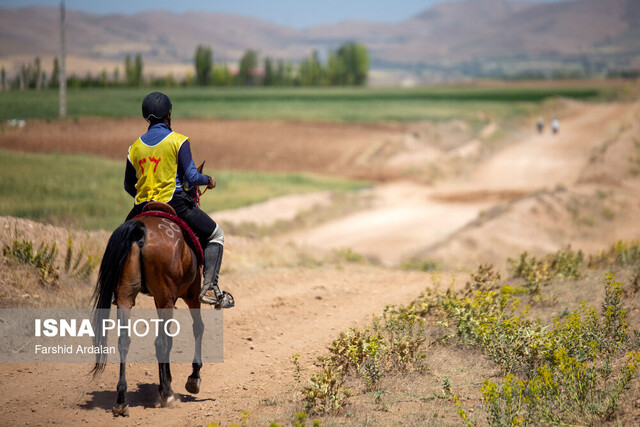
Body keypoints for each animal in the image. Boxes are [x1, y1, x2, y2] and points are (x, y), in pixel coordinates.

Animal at [90, 202, 204, 416]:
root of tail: (140, 231)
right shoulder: (190, 295)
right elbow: (196, 328)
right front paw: (192, 378)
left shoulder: (161, 300)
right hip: (168, 297)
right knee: (161, 342)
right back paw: (167, 394)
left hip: (125, 297)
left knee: (124, 342)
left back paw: (121, 400)